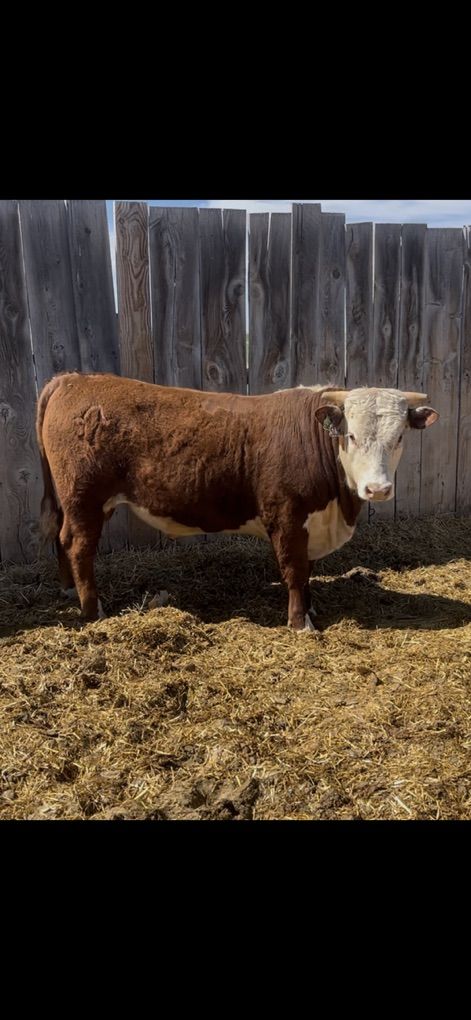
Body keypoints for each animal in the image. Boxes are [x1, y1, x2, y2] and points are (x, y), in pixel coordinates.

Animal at [36, 373, 439, 632]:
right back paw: (93, 610)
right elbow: (294, 571)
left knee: (60, 537)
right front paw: (300, 623)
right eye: (351, 436)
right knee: (78, 546)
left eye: (399, 437)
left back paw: (68, 589)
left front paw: (310, 609)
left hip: (72, 501)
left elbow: (306, 571)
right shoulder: (287, 516)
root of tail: (73, 379)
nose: (377, 489)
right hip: (85, 498)